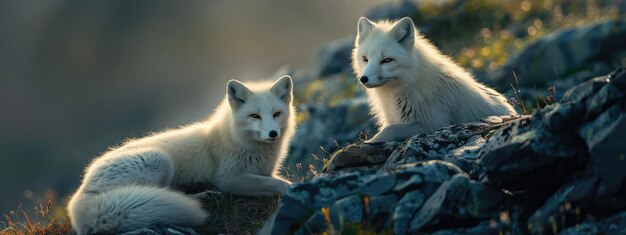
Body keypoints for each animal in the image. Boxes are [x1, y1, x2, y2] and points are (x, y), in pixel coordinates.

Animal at [67, 76, 296, 234]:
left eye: (276, 114)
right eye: (254, 116)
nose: (273, 133)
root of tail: (80, 195)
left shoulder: (264, 172)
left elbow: (275, 179)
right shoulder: (229, 178)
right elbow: (279, 183)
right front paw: (292, 188)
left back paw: (205, 196)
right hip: (158, 160)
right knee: (160, 193)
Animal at [352, 16, 516, 142]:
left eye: (387, 60)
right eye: (365, 59)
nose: (364, 79)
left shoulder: (435, 123)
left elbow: (389, 130)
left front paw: (366, 142)